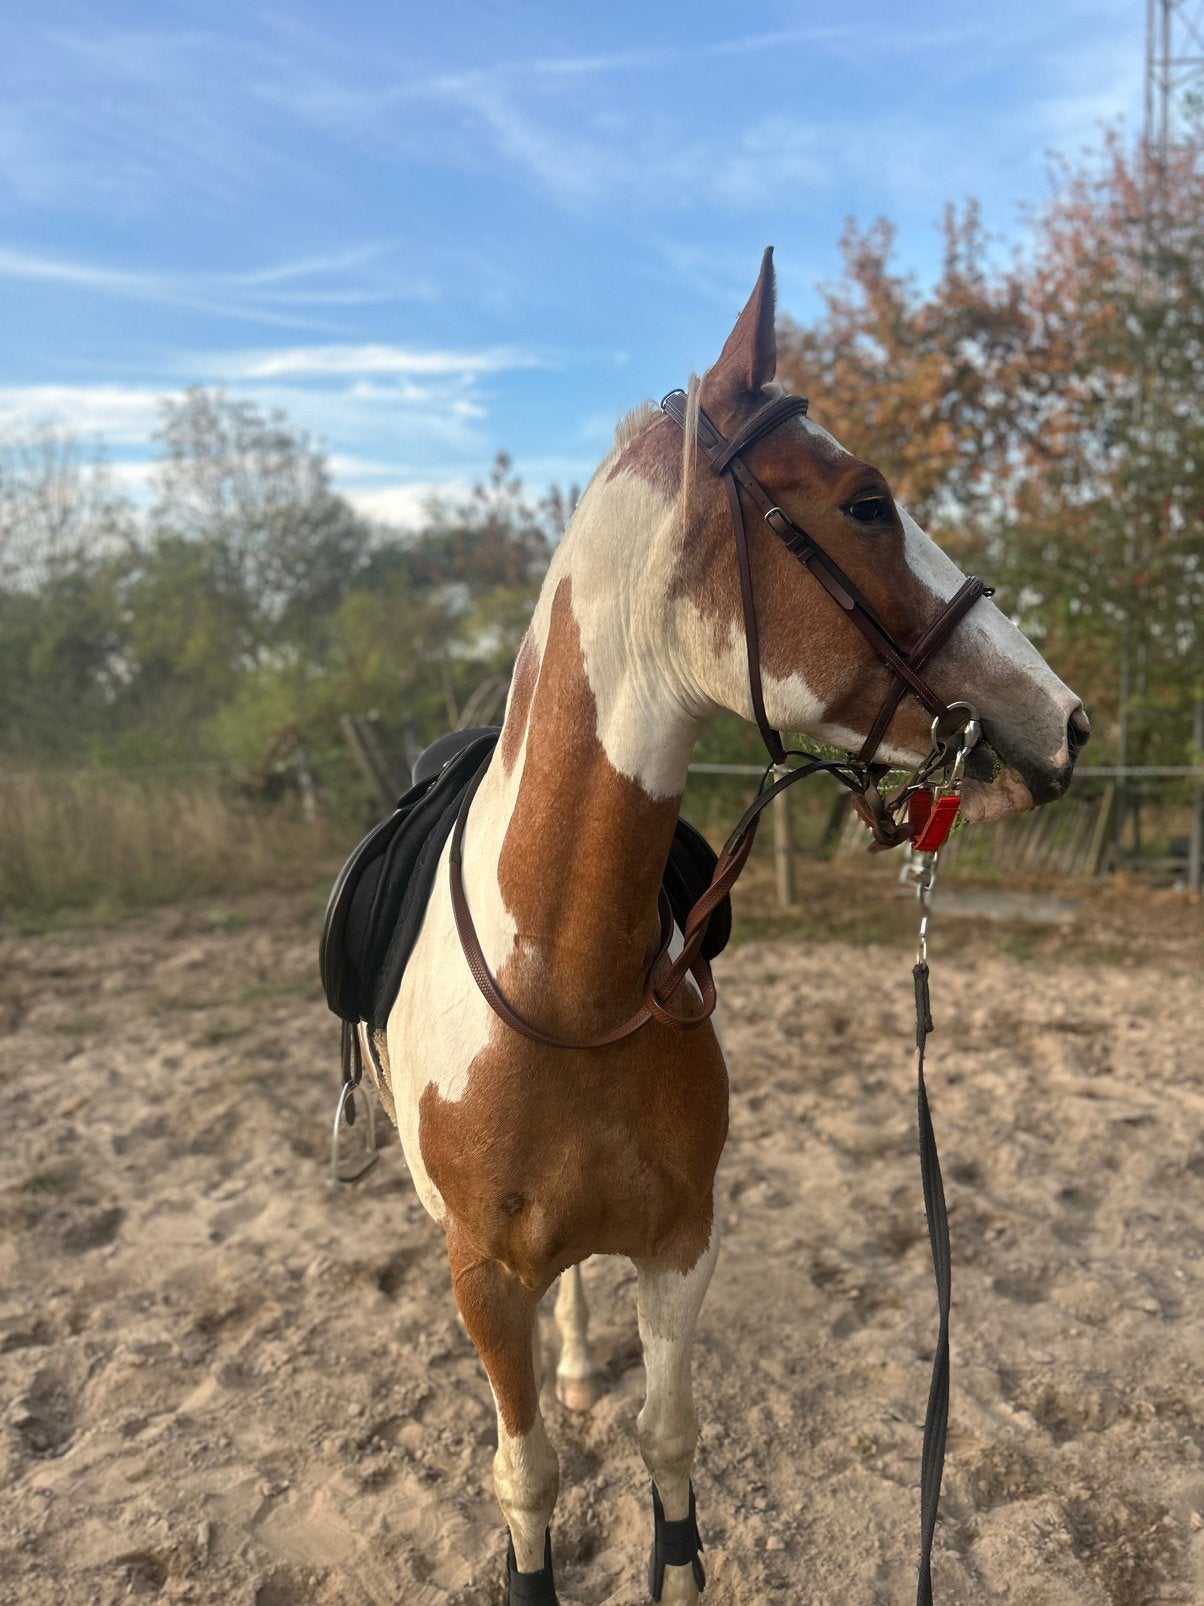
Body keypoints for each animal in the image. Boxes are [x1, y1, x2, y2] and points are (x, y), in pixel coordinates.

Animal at [362, 248, 1089, 1603]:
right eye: (866, 504)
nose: (1062, 718)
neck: (568, 988)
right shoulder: (482, 1279)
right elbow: (525, 1480)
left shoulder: (679, 1244)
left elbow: (669, 1441)